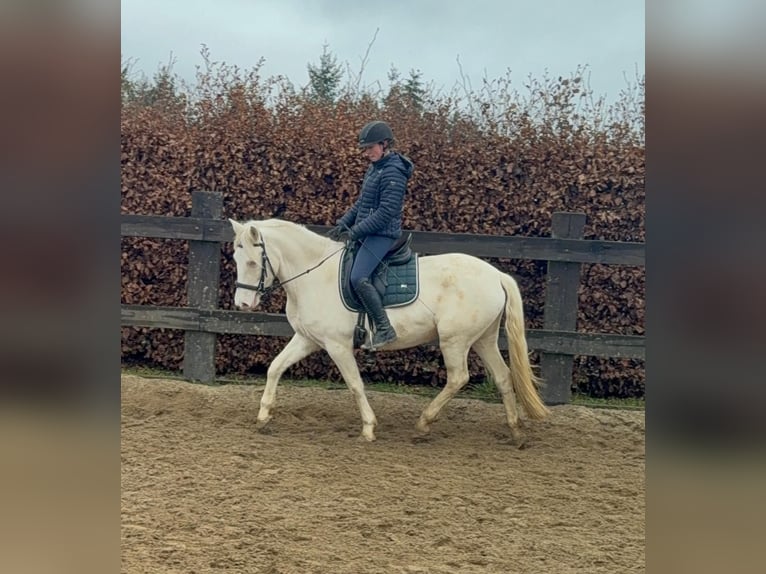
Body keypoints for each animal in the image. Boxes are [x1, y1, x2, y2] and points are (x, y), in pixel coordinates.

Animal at [229, 218, 549, 444]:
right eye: (235, 260)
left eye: (253, 262)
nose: (242, 303)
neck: (315, 276)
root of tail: (496, 275)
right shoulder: (307, 339)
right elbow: (275, 367)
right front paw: (263, 416)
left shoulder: (337, 346)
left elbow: (355, 384)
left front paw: (369, 428)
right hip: (483, 339)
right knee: (503, 377)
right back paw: (516, 432)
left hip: (455, 341)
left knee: (459, 378)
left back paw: (423, 424)